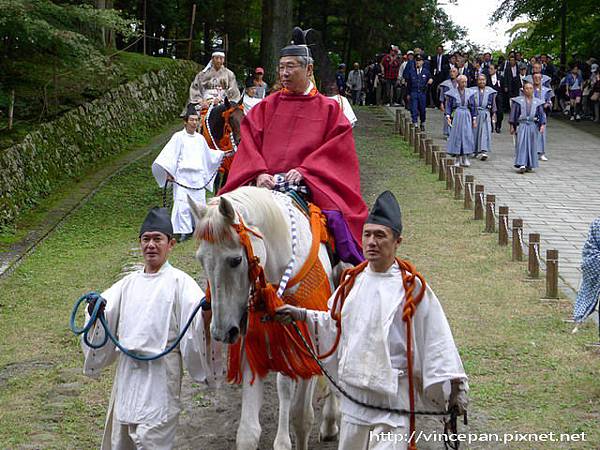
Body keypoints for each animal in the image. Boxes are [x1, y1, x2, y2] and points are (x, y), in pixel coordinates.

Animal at [189, 186, 338, 450]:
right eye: (201, 260)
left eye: (236, 260)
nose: (222, 332)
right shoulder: (255, 344)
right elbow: (248, 432)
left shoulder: (308, 340)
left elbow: (301, 416)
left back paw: (331, 421)